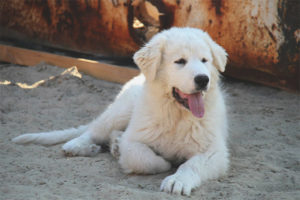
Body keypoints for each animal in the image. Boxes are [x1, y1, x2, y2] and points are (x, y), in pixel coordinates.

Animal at [12, 27, 230, 196]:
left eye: (205, 60)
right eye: (180, 61)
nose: (203, 79)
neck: (177, 115)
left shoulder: (214, 151)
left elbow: (191, 164)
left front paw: (178, 180)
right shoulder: (135, 139)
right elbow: (145, 159)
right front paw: (165, 163)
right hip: (122, 110)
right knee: (94, 130)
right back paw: (78, 145)